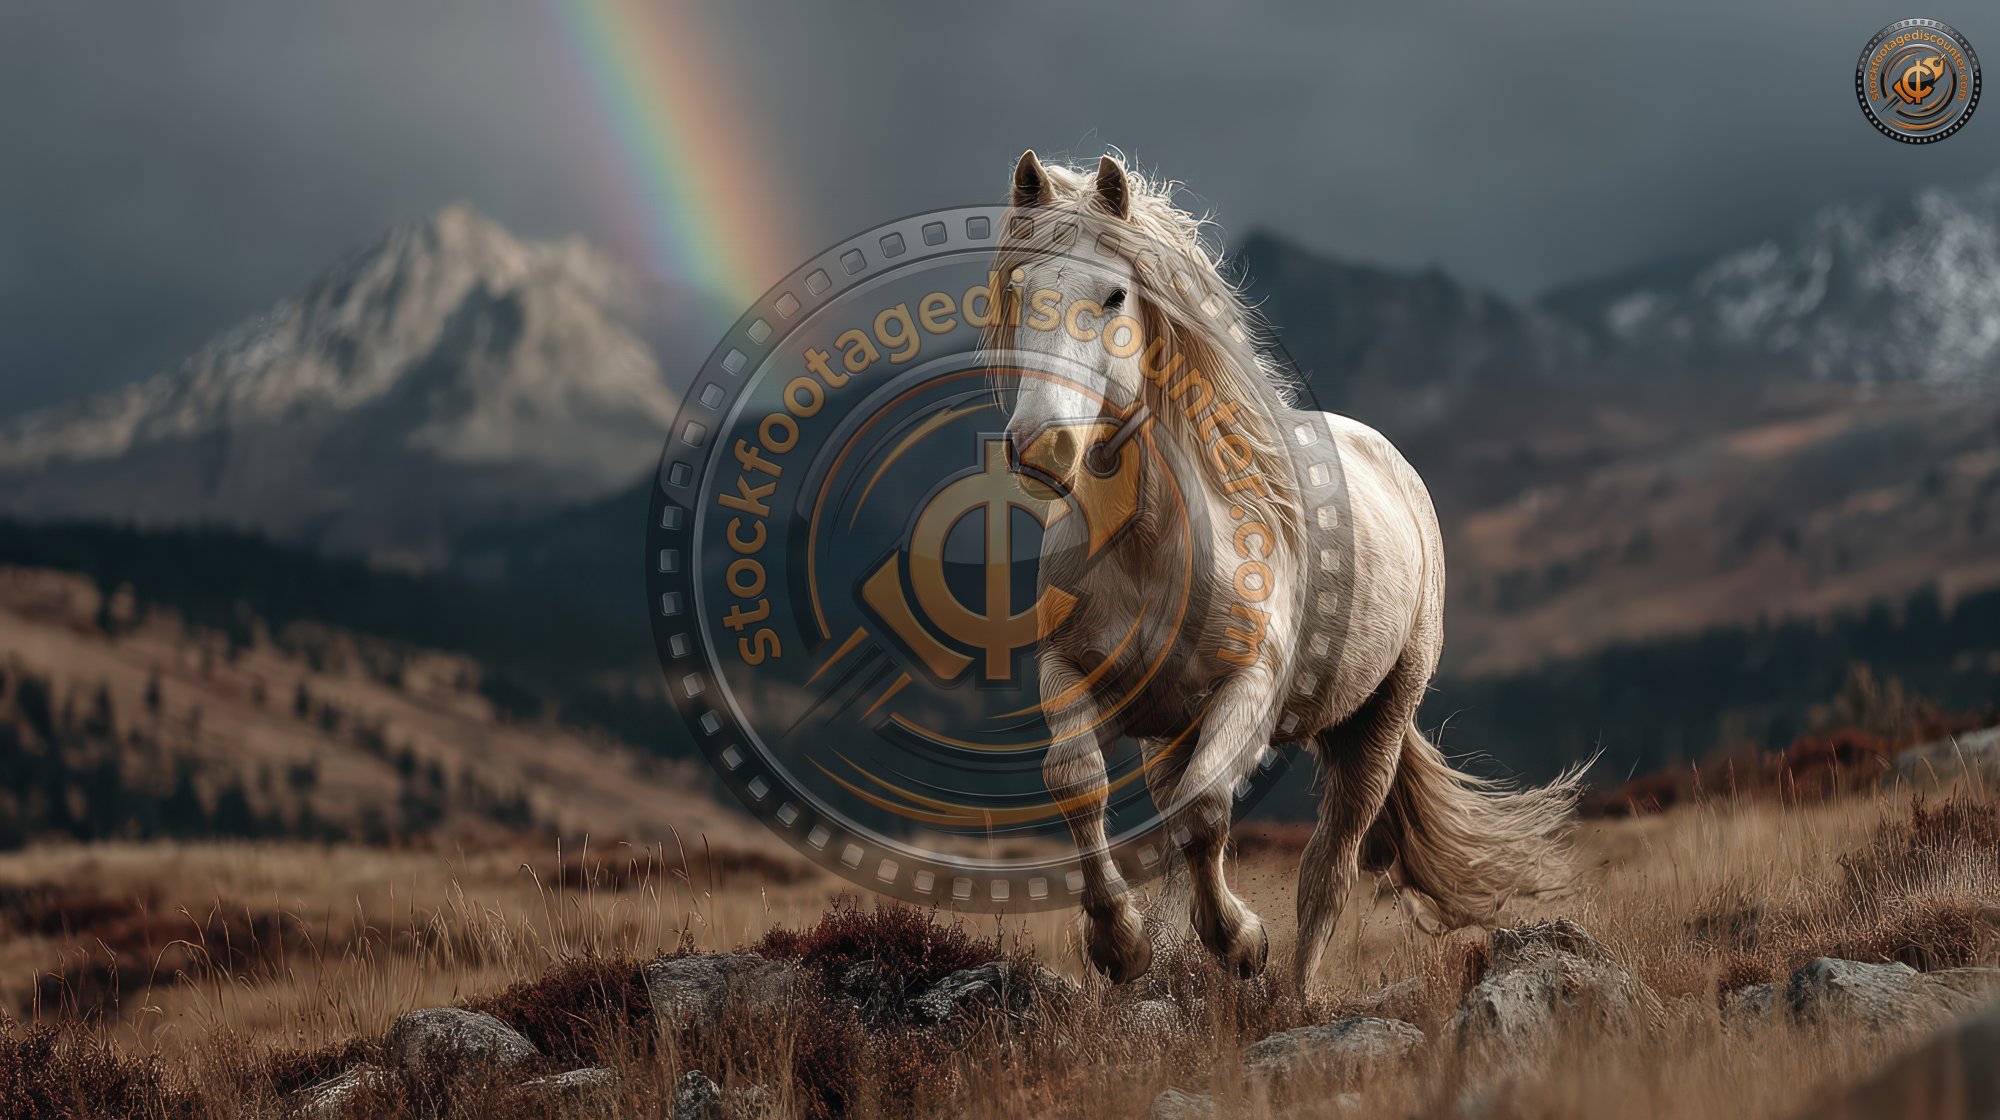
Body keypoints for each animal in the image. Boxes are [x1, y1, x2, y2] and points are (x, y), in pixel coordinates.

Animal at [985, 150, 1586, 989]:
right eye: (1018, 291)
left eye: (1113, 295)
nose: (1044, 446)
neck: (1153, 546)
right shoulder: (1068, 670)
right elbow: (1075, 783)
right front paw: (1121, 946)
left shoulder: (1252, 688)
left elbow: (1207, 811)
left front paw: (1241, 942)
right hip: (1172, 731)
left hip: (1377, 725)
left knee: (1327, 870)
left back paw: (1292, 996)